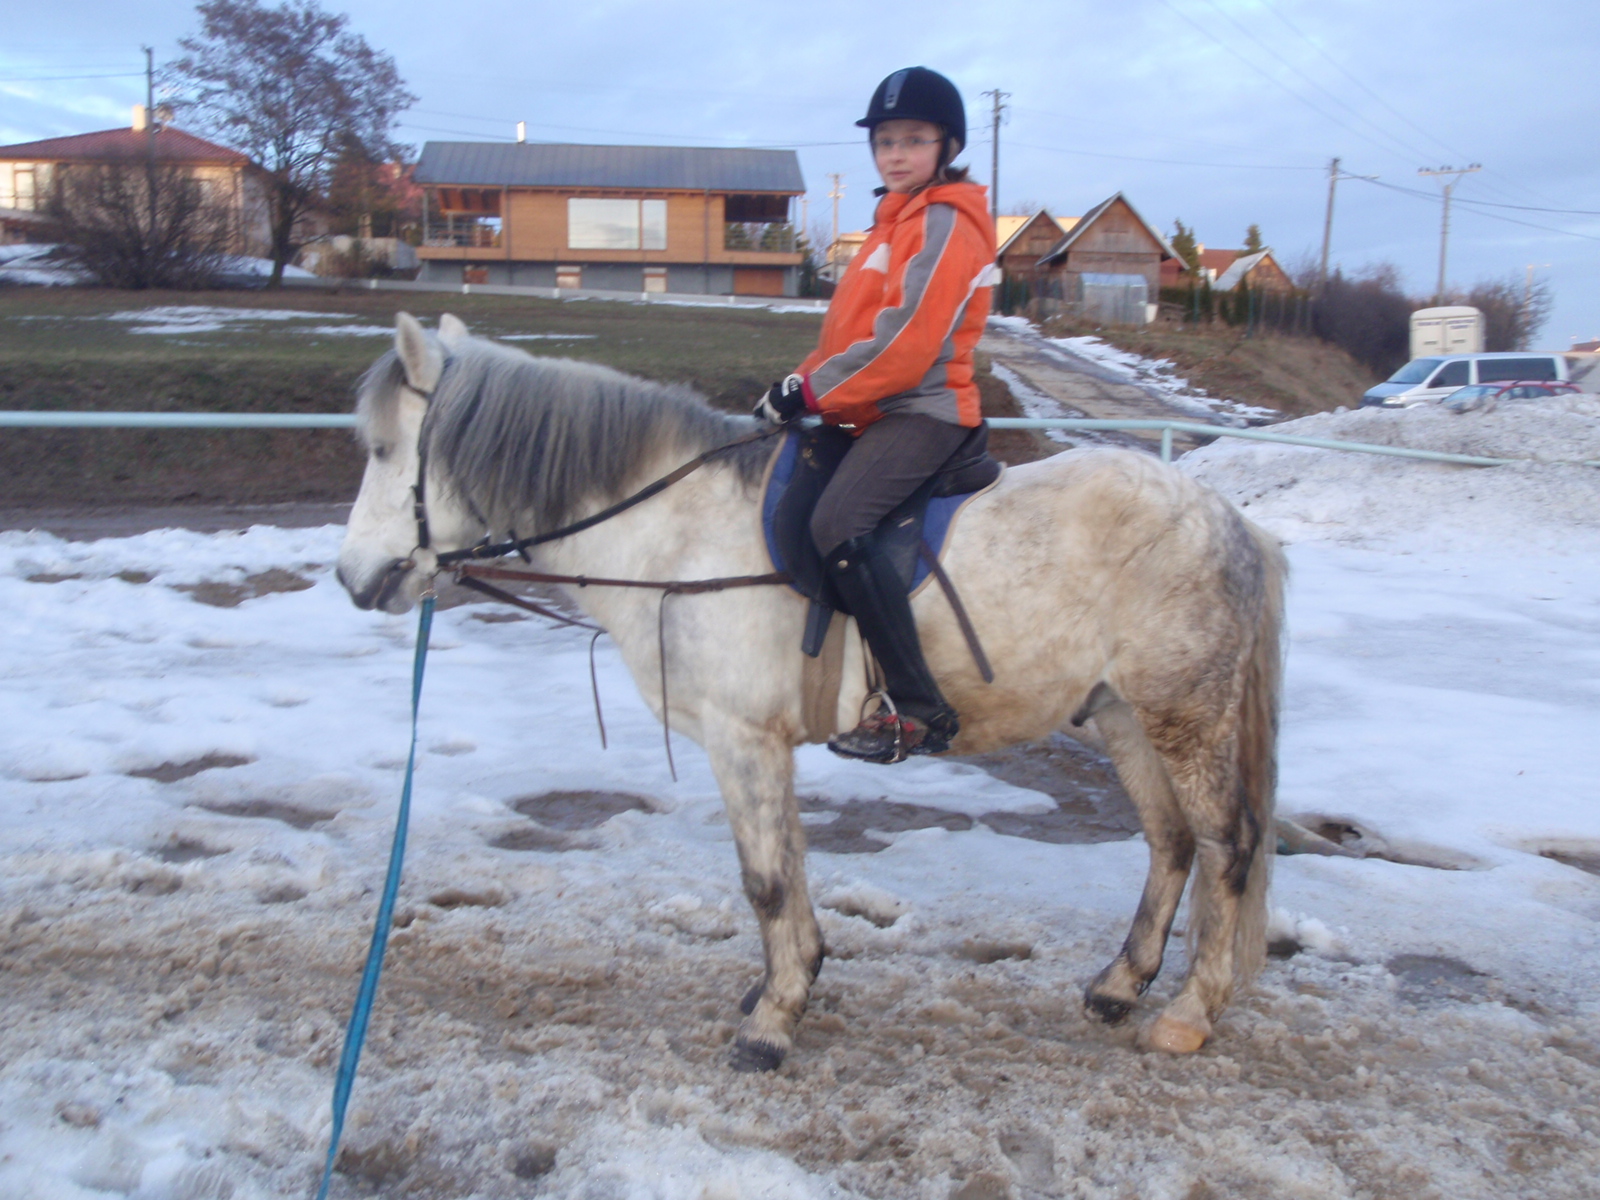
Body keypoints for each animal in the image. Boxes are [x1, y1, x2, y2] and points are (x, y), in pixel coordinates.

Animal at [337, 312, 1286, 1068]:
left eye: (384, 450)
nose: (352, 578)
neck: (673, 533)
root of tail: (1229, 519)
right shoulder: (758, 744)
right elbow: (788, 867)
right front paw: (787, 984)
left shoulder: (740, 737)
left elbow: (762, 879)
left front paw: (772, 1023)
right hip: (1125, 715)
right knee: (1171, 842)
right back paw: (1120, 985)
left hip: (1185, 714)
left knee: (1228, 844)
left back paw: (1188, 1015)